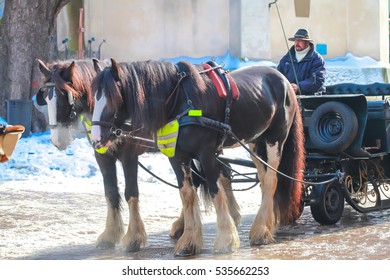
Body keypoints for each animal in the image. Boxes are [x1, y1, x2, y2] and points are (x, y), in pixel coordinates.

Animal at [36, 58, 239, 253]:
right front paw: (110, 235)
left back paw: (230, 218)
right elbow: (111, 192)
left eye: (66, 96)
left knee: (218, 175)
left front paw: (134, 237)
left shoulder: (129, 155)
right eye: (46, 98)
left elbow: (131, 192)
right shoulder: (102, 156)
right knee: (205, 178)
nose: (57, 140)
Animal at [90, 59, 306, 256]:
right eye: (94, 96)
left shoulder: (206, 153)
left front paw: (226, 238)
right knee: (263, 177)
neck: (179, 101)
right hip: (255, 142)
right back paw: (267, 223)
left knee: (271, 179)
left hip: (275, 139)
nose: (96, 139)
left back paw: (261, 230)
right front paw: (189, 241)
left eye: (113, 97)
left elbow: (215, 188)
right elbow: (187, 193)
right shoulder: (176, 155)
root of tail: (284, 80)